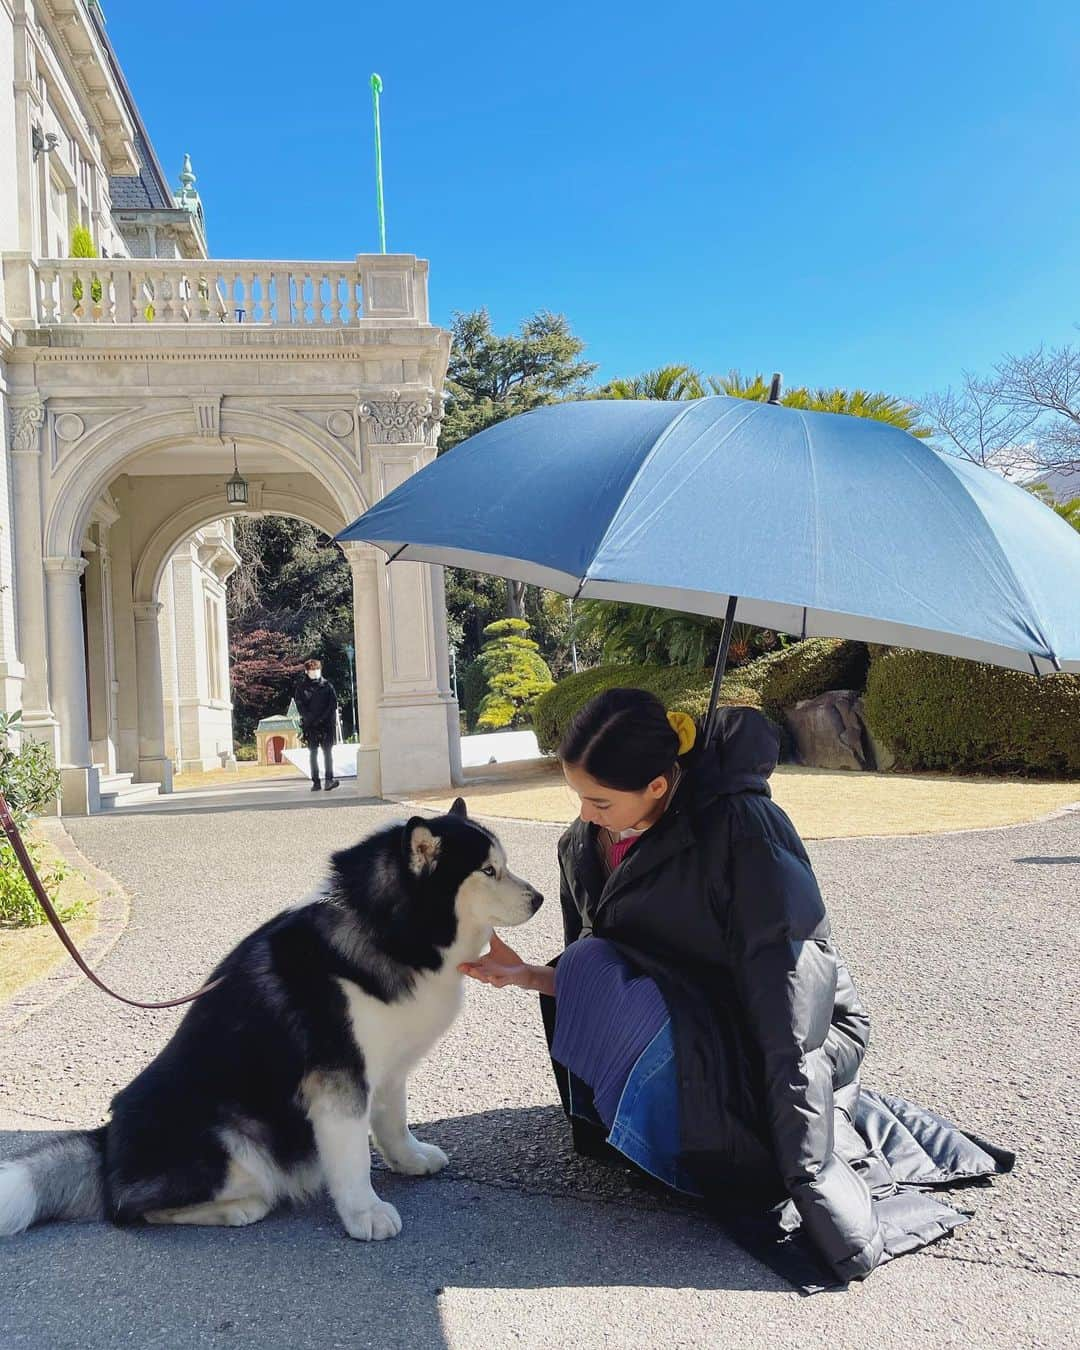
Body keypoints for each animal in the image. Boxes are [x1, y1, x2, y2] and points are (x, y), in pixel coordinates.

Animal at [0, 799, 540, 1242]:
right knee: (129, 1208)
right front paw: (365, 1213)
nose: (537, 898)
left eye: (504, 864)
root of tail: (106, 1143)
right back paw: (239, 1208)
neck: (386, 929)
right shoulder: (338, 1079)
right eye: (489, 870)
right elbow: (352, 1157)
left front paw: (410, 1159)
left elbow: (392, 1122)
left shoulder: (385, 1068)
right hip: (231, 1139)